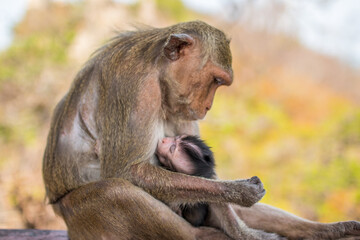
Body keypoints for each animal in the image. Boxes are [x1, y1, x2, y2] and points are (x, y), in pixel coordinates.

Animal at [43, 21, 360, 240]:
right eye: (216, 80)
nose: (207, 106)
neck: (157, 70)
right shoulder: (133, 85)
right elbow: (126, 172)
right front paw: (238, 191)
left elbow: (207, 176)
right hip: (82, 218)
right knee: (112, 190)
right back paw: (202, 235)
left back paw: (322, 230)